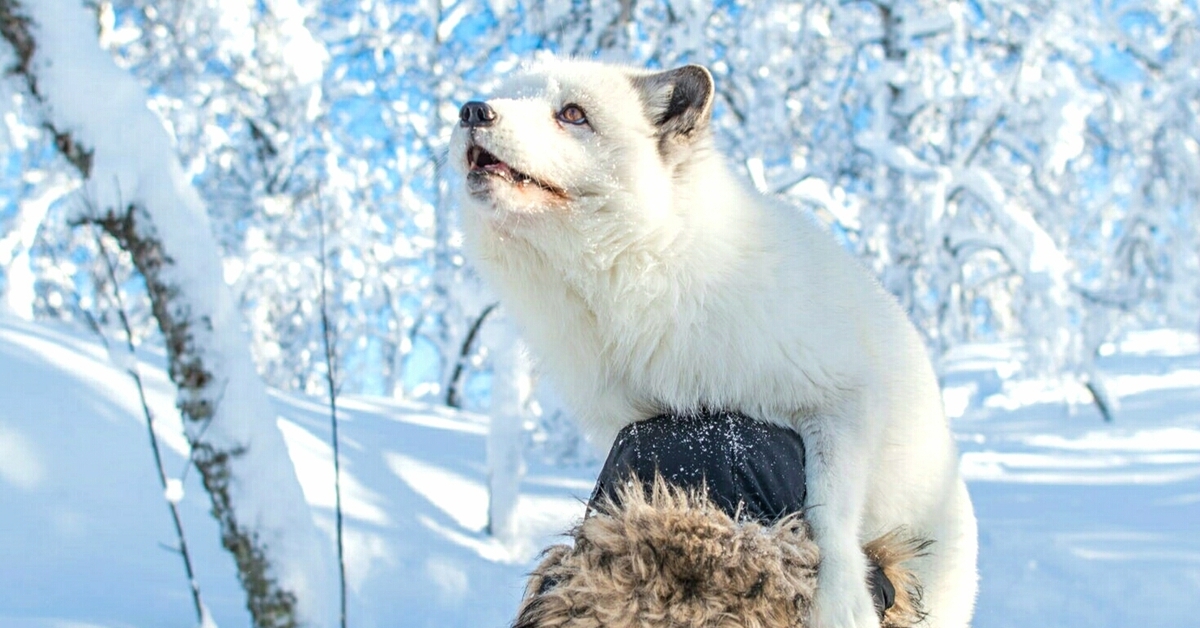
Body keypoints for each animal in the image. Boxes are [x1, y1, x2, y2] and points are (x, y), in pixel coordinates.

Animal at [451, 60, 974, 628]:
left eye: (573, 114)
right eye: (505, 93)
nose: (472, 110)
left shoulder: (844, 398)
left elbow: (830, 517)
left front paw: (841, 603)